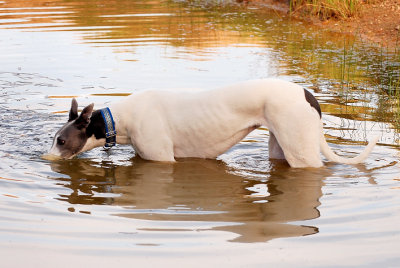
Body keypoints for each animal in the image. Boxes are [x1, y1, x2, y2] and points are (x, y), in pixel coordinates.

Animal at [47, 78, 378, 168]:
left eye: (61, 140)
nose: (45, 158)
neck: (121, 118)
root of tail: (307, 95)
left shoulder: (162, 161)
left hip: (302, 154)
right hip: (279, 148)